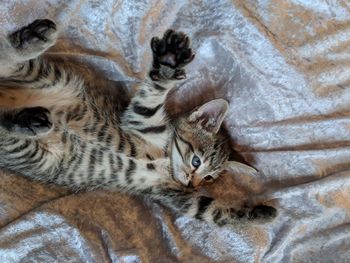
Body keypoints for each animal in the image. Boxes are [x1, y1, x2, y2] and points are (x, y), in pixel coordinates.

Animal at [0, 19, 276, 228]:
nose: (192, 183)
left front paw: (262, 214)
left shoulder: (176, 196)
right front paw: (167, 64)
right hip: (45, 79)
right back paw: (33, 39)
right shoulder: (139, 121)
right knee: (7, 59)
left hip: (29, 151)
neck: (166, 161)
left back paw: (31, 120)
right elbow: (153, 94)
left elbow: (213, 211)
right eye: (197, 161)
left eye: (208, 179)